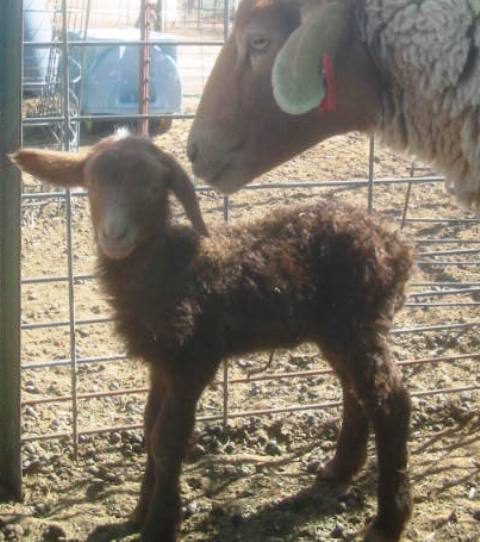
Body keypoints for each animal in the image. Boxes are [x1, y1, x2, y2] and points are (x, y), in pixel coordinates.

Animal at [13, 133, 414, 542]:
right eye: (91, 183)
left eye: (155, 187)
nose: (114, 235)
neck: (172, 266)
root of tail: (396, 243)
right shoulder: (162, 363)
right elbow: (149, 428)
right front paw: (139, 513)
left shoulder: (194, 359)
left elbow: (167, 439)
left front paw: (159, 525)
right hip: (337, 331)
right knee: (356, 392)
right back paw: (341, 468)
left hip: (358, 324)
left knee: (390, 401)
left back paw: (388, 521)